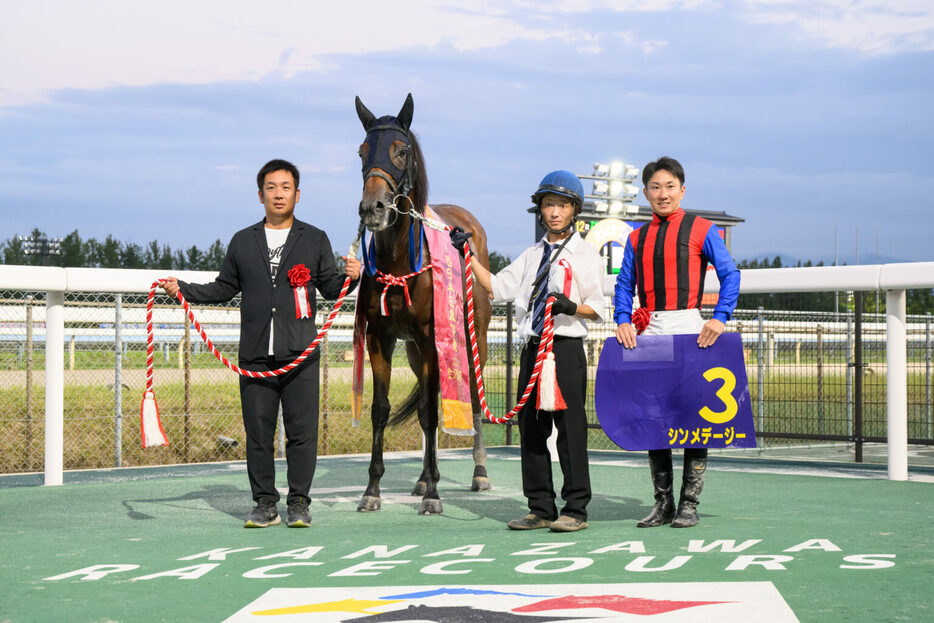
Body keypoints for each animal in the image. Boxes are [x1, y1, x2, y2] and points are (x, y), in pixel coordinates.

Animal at [352, 94, 498, 516]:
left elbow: (435, 412)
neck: (402, 261)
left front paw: (434, 493)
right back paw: (420, 478)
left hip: (474, 338)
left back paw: (478, 473)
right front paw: (373, 490)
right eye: (362, 150)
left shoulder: (435, 338)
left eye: (401, 150)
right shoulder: (381, 339)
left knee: (473, 403)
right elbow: (382, 410)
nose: (372, 208)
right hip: (417, 351)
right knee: (422, 405)